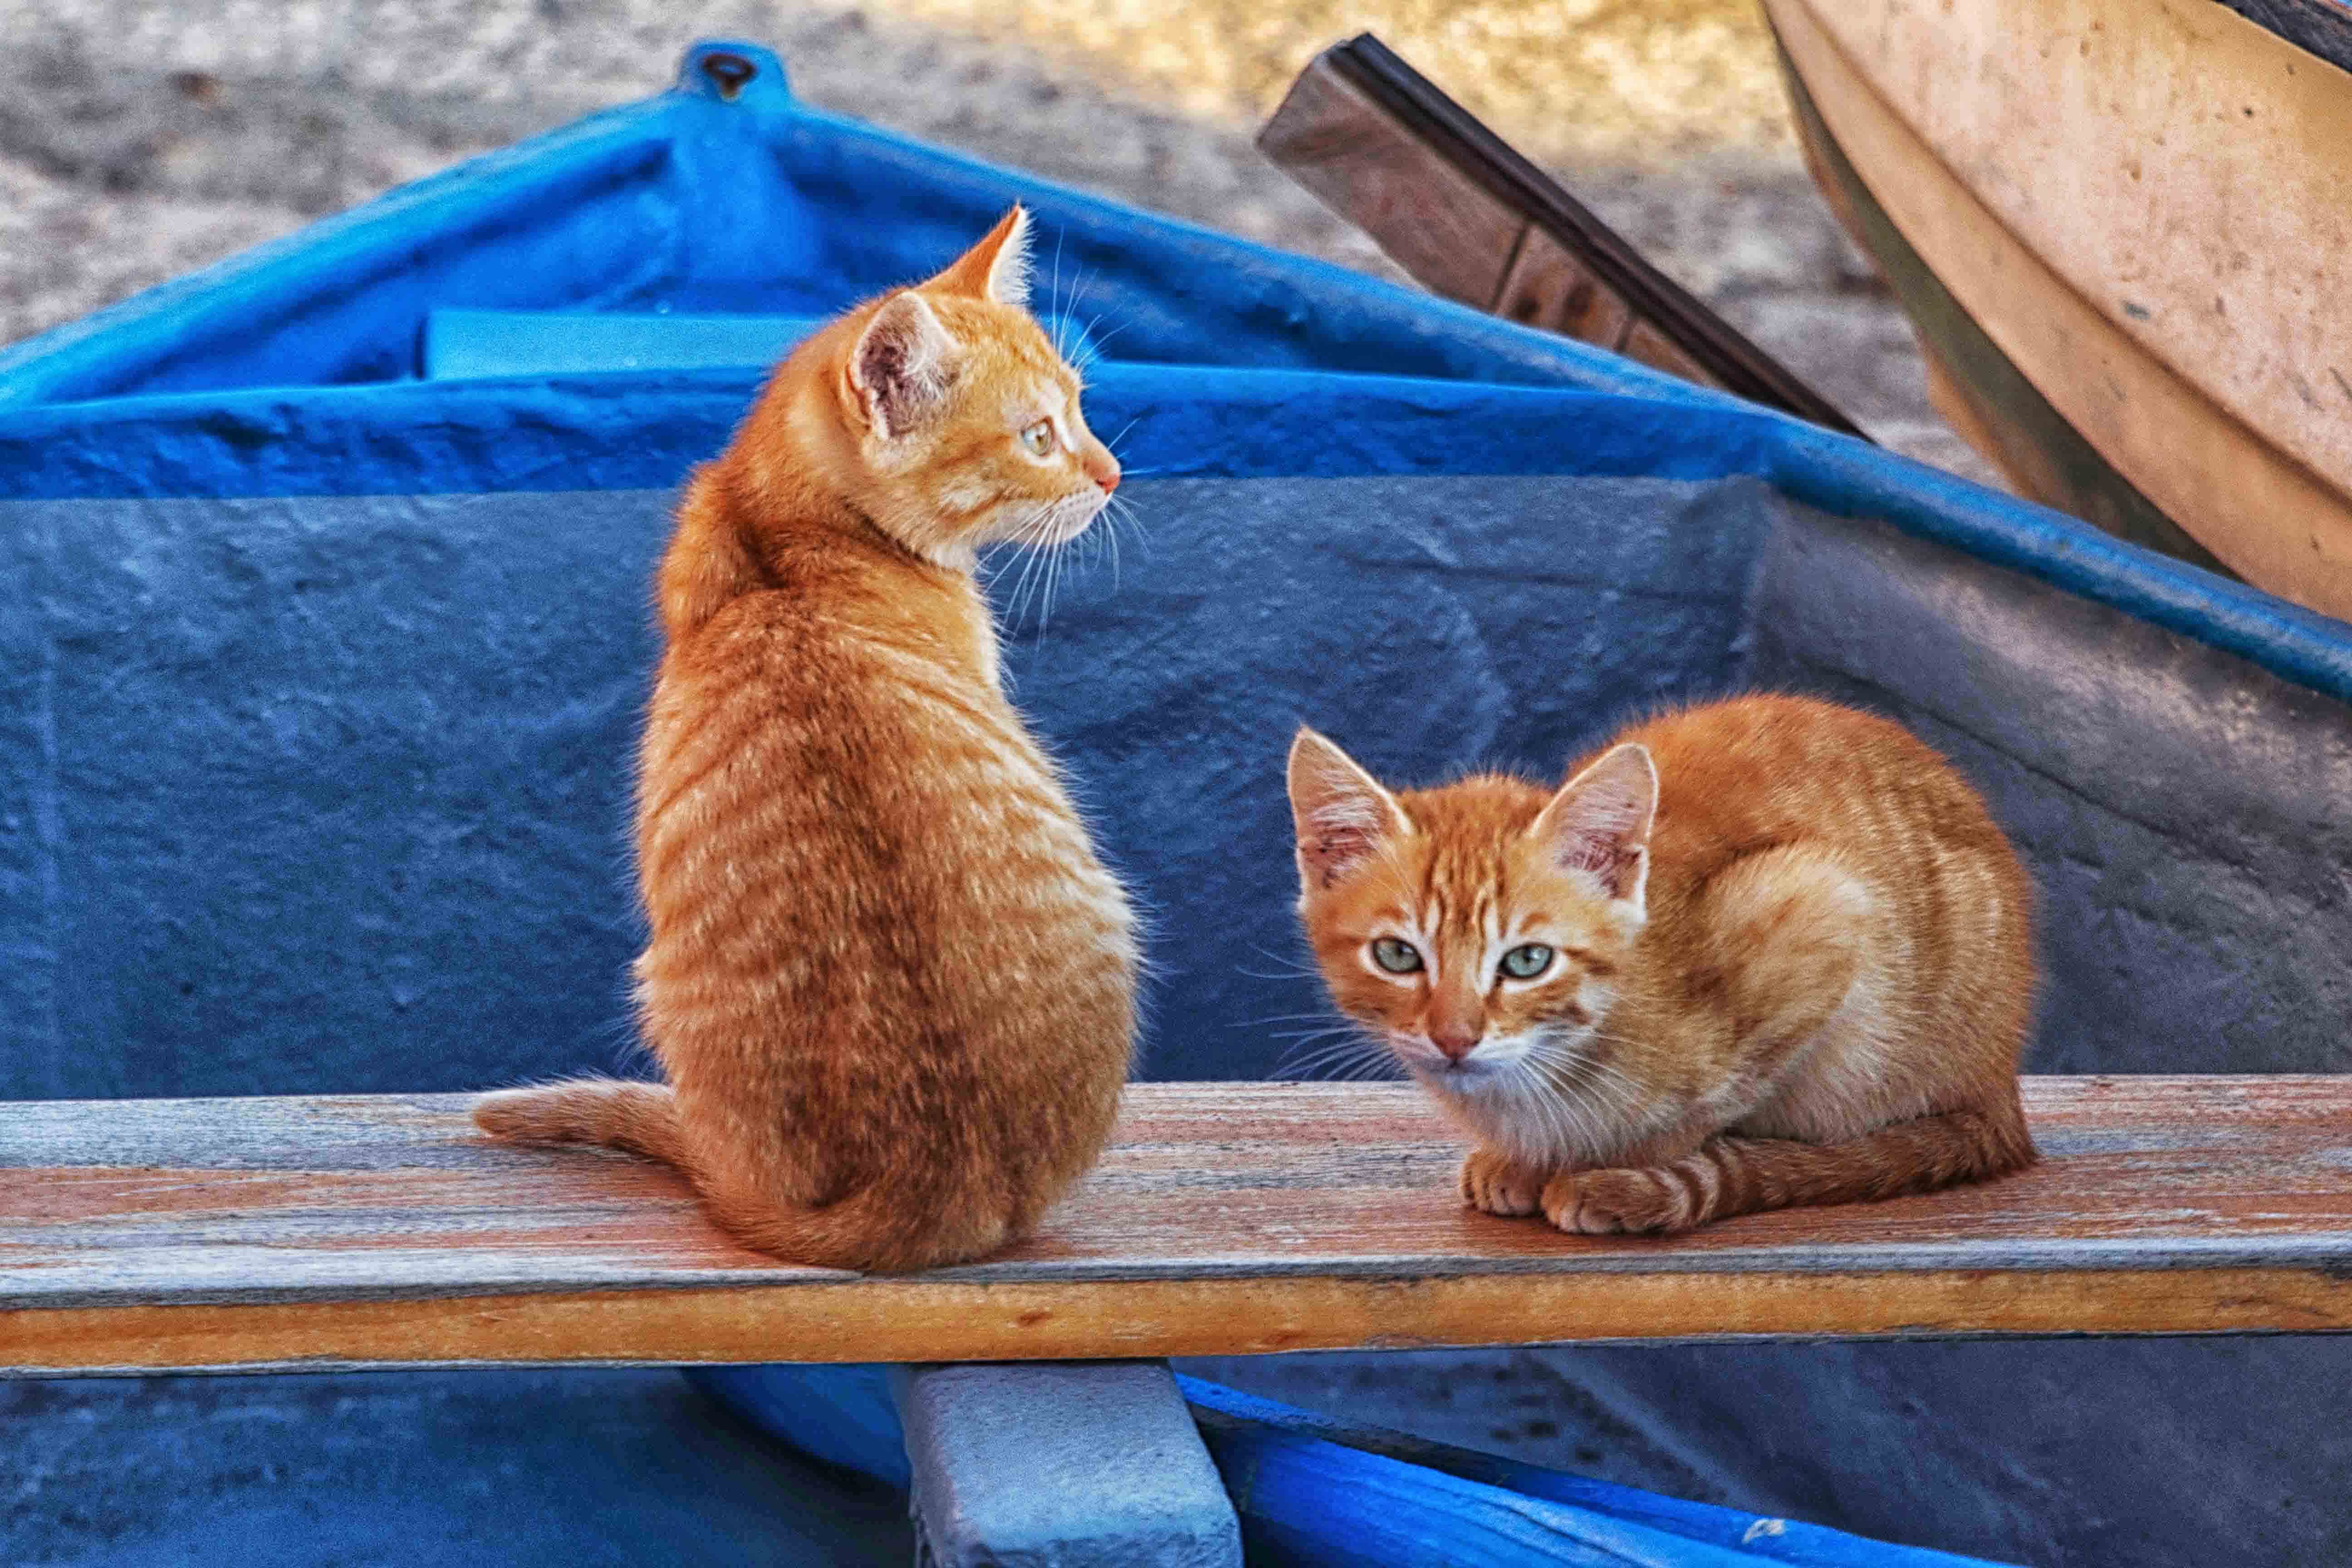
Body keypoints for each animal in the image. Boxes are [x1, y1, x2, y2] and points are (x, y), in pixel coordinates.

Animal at [1289, 701, 2041, 1241]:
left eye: (1528, 961)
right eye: (1398, 955)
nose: (1454, 1038)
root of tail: (2001, 1092)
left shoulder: (1825, 904)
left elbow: (1710, 1107)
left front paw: (1600, 1168)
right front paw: (1525, 1161)